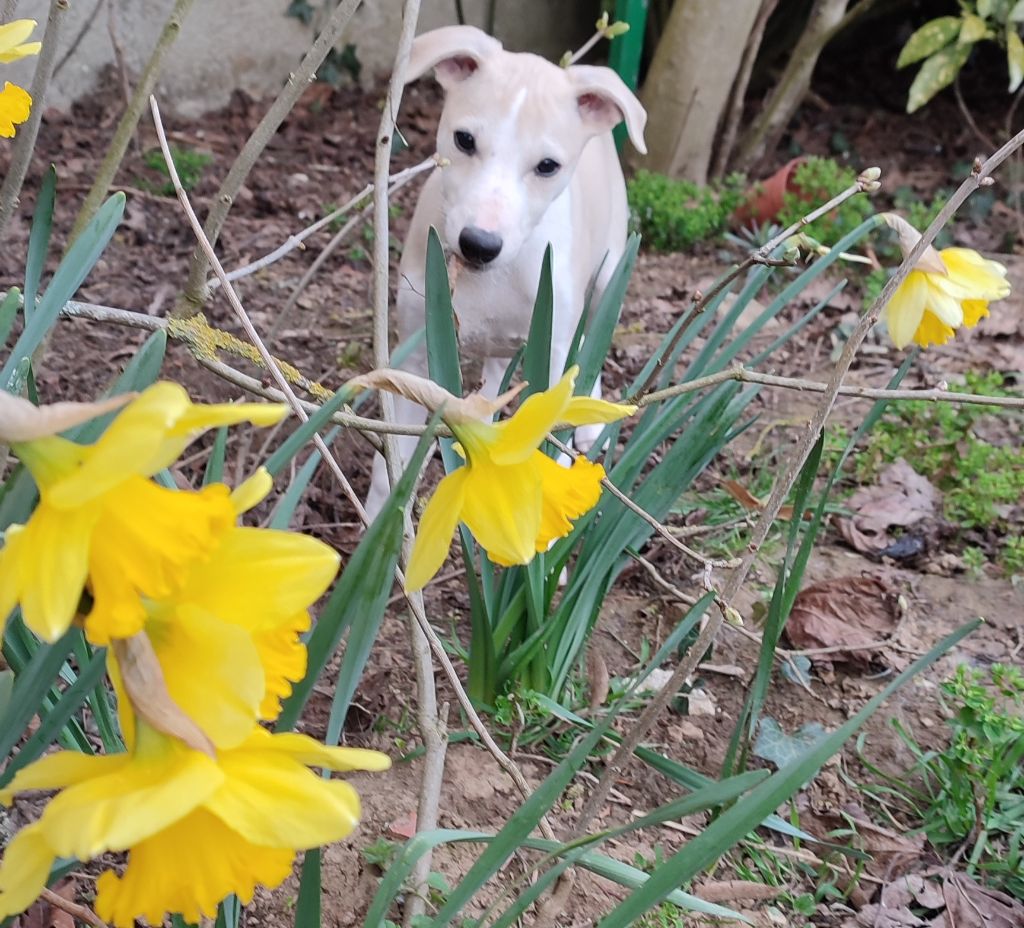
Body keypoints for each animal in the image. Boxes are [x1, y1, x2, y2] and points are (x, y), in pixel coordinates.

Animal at [364, 23, 643, 514]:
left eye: (547, 166)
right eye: (464, 140)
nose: (479, 244)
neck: (491, 276)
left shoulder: (553, 358)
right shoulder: (414, 358)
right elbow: (388, 471)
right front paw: (377, 526)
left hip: (608, 273)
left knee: (593, 337)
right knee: (497, 375)